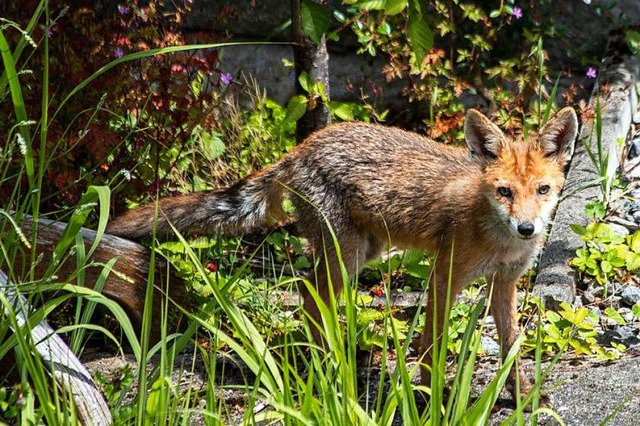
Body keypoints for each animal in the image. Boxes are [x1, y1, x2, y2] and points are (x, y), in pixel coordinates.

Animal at [106, 105, 580, 396]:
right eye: (504, 192)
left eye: (542, 190)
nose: (527, 228)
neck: (496, 238)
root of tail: (302, 146)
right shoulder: (444, 276)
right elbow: (431, 344)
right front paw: (433, 398)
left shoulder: (505, 283)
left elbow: (512, 345)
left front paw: (523, 397)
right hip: (346, 256)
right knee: (307, 293)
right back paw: (328, 367)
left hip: (363, 252)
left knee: (311, 294)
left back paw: (337, 357)